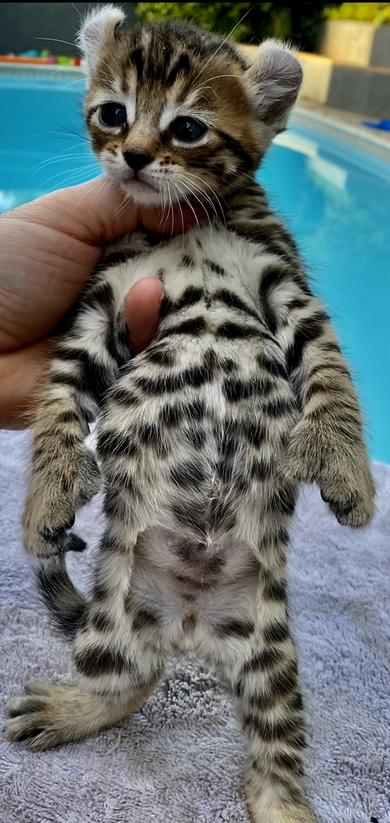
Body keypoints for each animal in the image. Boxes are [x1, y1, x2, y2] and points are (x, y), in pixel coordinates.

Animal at [4, 6, 374, 823]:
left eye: (188, 128)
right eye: (113, 113)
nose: (136, 157)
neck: (188, 223)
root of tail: (192, 624)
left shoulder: (283, 282)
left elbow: (330, 370)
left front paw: (348, 467)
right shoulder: (102, 303)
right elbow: (58, 398)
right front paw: (46, 494)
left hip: (271, 651)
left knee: (272, 757)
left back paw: (287, 807)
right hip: (115, 613)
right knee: (132, 681)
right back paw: (77, 707)